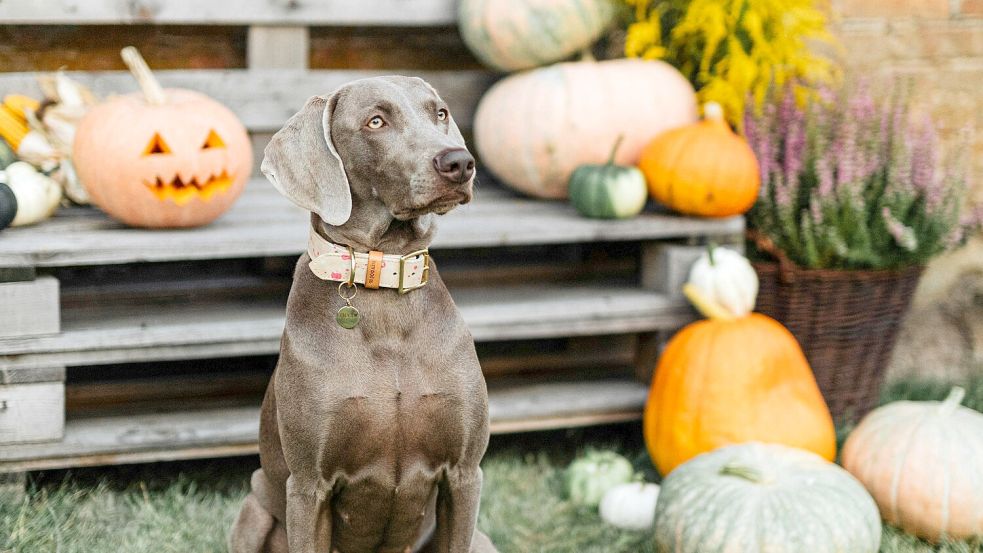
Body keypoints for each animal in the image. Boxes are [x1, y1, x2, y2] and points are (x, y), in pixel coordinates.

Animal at [227, 76, 496, 552]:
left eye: (440, 113)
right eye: (375, 121)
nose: (459, 162)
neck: (383, 281)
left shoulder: (465, 473)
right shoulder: (308, 485)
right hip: (252, 513)